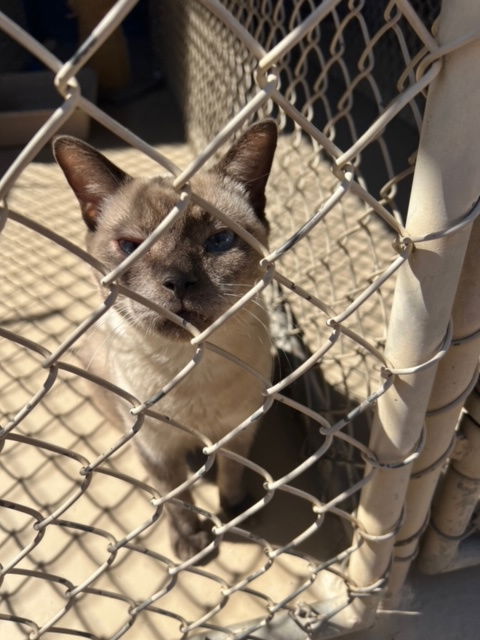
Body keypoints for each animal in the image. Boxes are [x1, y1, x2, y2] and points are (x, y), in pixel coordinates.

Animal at [53, 120, 278, 560]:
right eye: (130, 246)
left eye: (219, 241)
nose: (178, 281)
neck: (191, 366)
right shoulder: (157, 451)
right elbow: (177, 499)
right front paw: (193, 543)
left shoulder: (238, 432)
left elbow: (231, 476)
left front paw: (236, 514)